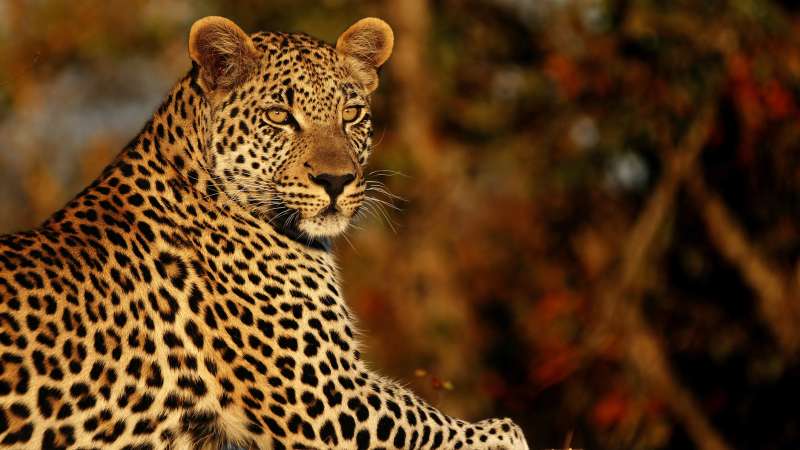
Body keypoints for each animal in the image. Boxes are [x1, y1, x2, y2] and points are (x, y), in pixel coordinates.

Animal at [0, 15, 531, 450]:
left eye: (351, 114)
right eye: (279, 116)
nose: (336, 180)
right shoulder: (328, 397)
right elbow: (441, 423)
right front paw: (505, 434)